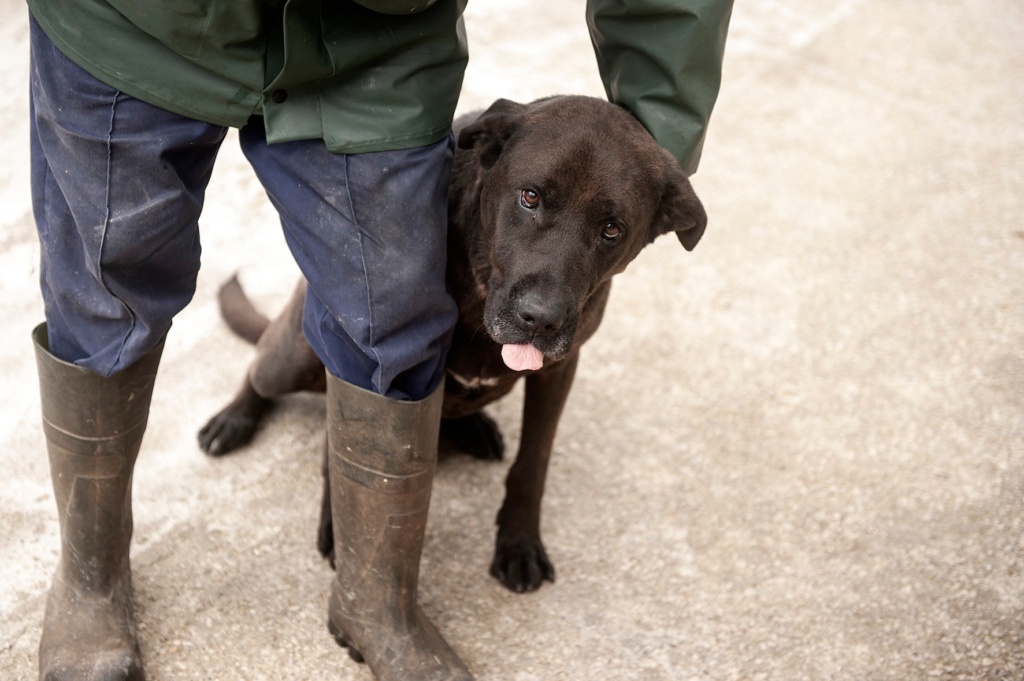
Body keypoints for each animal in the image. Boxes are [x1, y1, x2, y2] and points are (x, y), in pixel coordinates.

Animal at [202, 93, 708, 593]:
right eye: (530, 197)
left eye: (612, 229)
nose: (539, 319)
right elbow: (347, 445)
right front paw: (344, 532)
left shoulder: (558, 368)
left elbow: (534, 460)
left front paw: (519, 542)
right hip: (293, 355)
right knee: (260, 368)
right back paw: (233, 419)